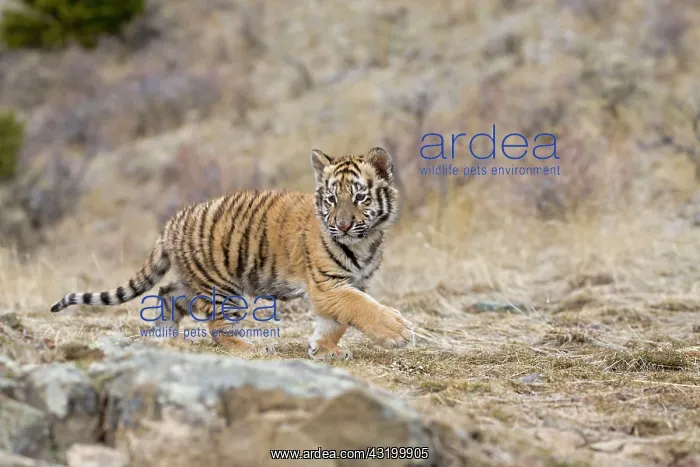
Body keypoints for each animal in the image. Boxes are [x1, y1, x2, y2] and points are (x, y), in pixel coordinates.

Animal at [50, 147, 414, 360]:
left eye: (360, 197)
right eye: (331, 199)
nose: (342, 225)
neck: (366, 240)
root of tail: (171, 224)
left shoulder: (353, 282)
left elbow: (338, 321)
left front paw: (324, 349)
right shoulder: (328, 285)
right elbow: (360, 308)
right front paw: (398, 331)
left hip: (194, 281)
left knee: (167, 294)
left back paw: (164, 335)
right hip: (225, 290)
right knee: (216, 327)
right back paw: (249, 347)